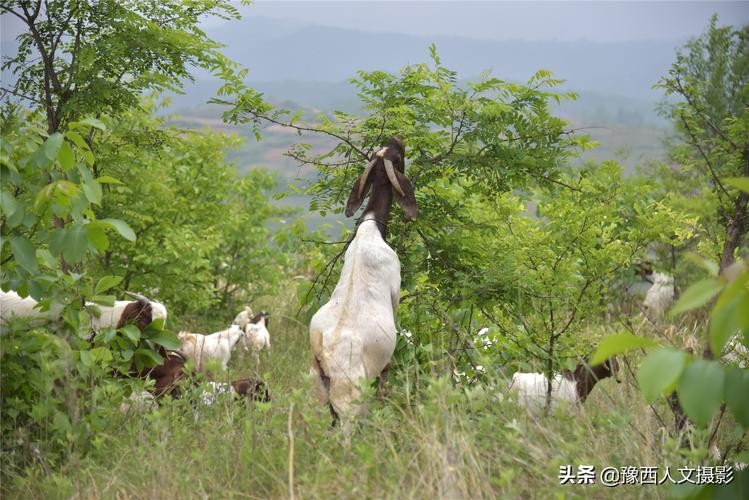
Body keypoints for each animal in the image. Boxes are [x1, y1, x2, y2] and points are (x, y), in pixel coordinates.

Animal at [306, 136, 418, 426]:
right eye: (398, 156)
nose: (398, 138)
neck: (371, 228)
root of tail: (325, 355)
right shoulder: (395, 292)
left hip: (315, 391)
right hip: (349, 396)